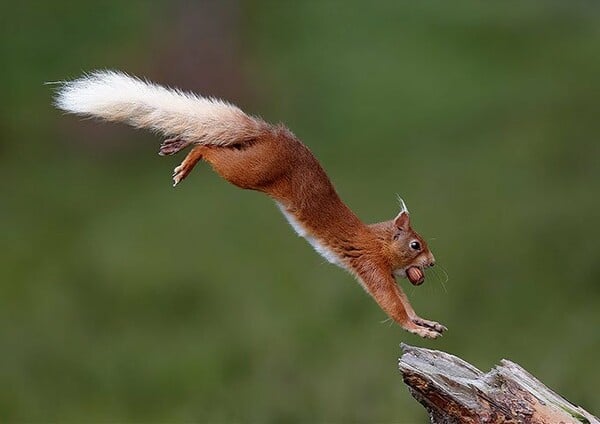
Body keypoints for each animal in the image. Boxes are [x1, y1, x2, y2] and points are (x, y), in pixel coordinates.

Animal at [55, 71, 446, 340]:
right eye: (416, 245)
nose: (431, 263)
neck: (376, 241)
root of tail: (270, 133)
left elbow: (403, 301)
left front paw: (426, 321)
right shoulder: (369, 265)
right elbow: (391, 304)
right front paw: (417, 329)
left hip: (248, 157)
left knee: (214, 140)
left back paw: (178, 145)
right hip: (251, 171)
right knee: (211, 149)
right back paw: (188, 159)